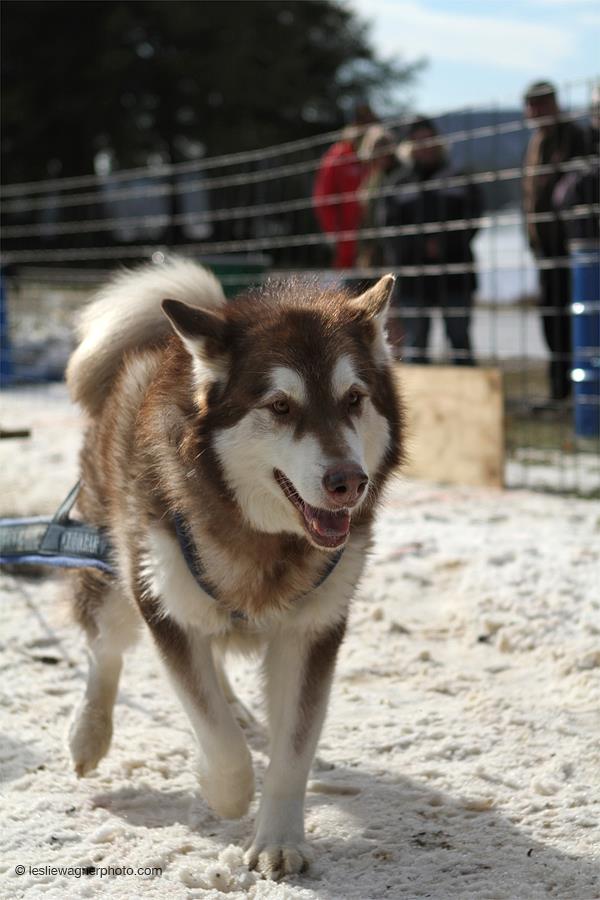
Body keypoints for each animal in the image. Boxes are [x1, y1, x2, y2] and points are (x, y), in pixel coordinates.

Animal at [64, 258, 404, 880]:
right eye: (280, 406)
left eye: (353, 398)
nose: (349, 482)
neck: (265, 542)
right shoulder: (163, 603)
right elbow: (215, 735)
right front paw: (222, 789)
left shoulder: (312, 632)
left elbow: (293, 751)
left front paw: (279, 840)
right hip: (117, 567)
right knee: (106, 649)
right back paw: (88, 733)